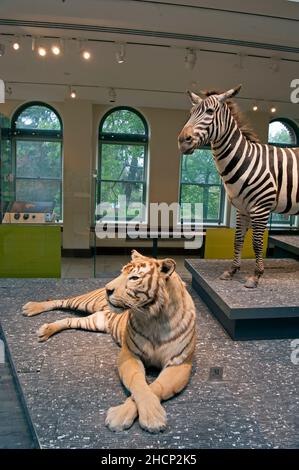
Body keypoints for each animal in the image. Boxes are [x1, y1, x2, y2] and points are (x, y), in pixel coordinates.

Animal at [22, 250, 197, 434]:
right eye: (121, 272)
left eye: (134, 277)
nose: (108, 289)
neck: (155, 318)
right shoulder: (129, 354)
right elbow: (138, 384)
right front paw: (128, 417)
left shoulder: (179, 364)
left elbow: (154, 387)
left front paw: (150, 417)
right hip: (84, 302)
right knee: (60, 301)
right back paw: (32, 308)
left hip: (94, 321)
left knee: (69, 320)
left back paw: (45, 330)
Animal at [179, 86, 298, 288]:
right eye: (190, 113)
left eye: (209, 111)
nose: (182, 140)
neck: (246, 160)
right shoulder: (242, 208)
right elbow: (237, 240)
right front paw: (232, 270)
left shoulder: (260, 208)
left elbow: (257, 242)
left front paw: (256, 275)